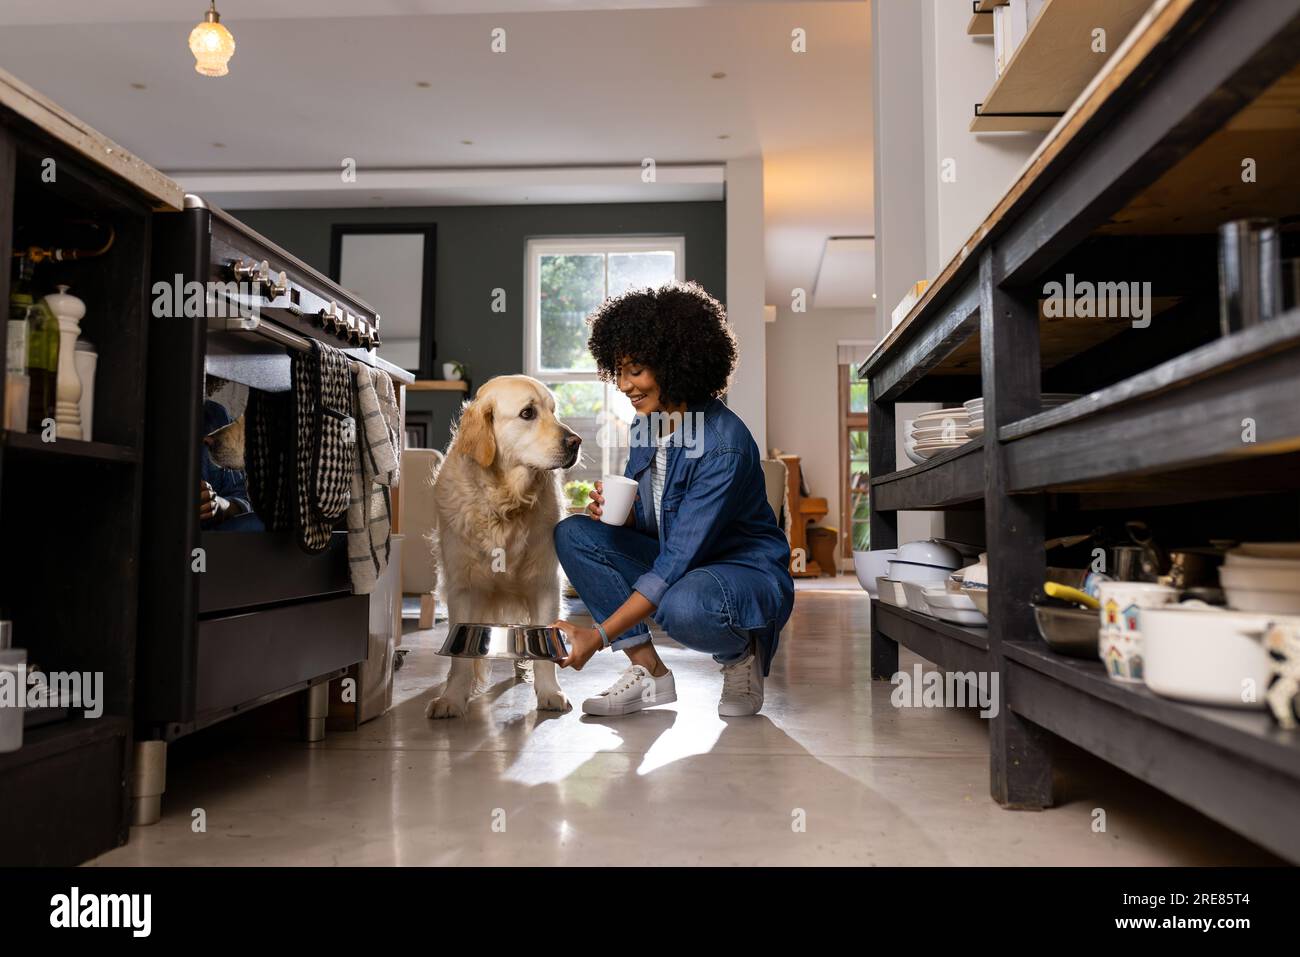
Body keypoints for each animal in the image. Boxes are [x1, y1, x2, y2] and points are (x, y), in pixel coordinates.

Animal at [426, 374, 579, 717]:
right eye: (527, 413)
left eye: (554, 411)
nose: (576, 442)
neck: (505, 502)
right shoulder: (463, 587)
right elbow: (459, 656)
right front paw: (453, 697)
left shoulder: (544, 583)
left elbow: (545, 646)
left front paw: (549, 692)